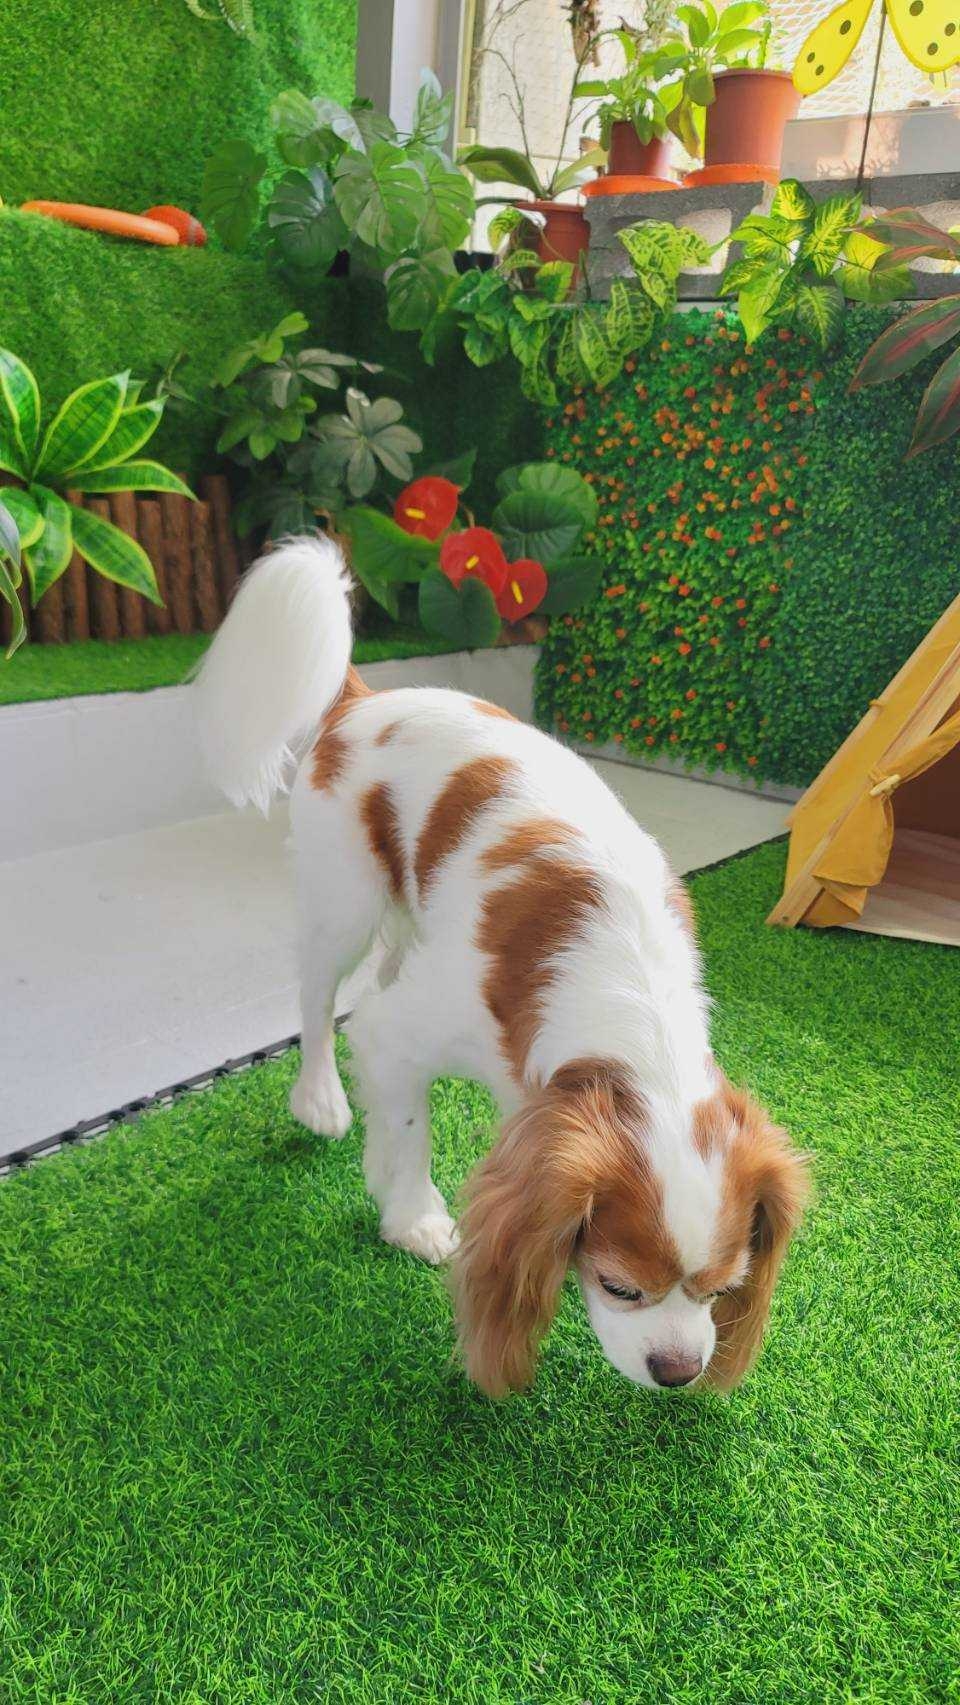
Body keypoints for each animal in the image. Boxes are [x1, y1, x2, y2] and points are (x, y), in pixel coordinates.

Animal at [196, 536, 808, 1397]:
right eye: (619, 1285)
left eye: (723, 1288)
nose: (679, 1371)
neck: (633, 998)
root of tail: (361, 698)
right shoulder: (404, 1032)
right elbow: (405, 1121)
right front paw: (413, 1217)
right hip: (343, 901)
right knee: (318, 1000)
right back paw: (319, 1100)